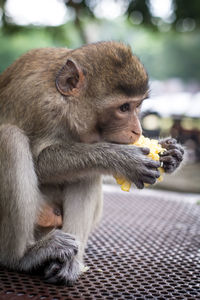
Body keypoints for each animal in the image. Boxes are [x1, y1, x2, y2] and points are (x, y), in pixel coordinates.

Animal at [0, 41, 184, 284]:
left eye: (137, 106)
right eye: (123, 108)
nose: (138, 130)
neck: (64, 103)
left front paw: (170, 153)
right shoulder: (40, 106)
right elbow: (39, 163)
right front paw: (124, 159)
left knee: (87, 172)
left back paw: (69, 263)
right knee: (9, 140)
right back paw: (21, 258)